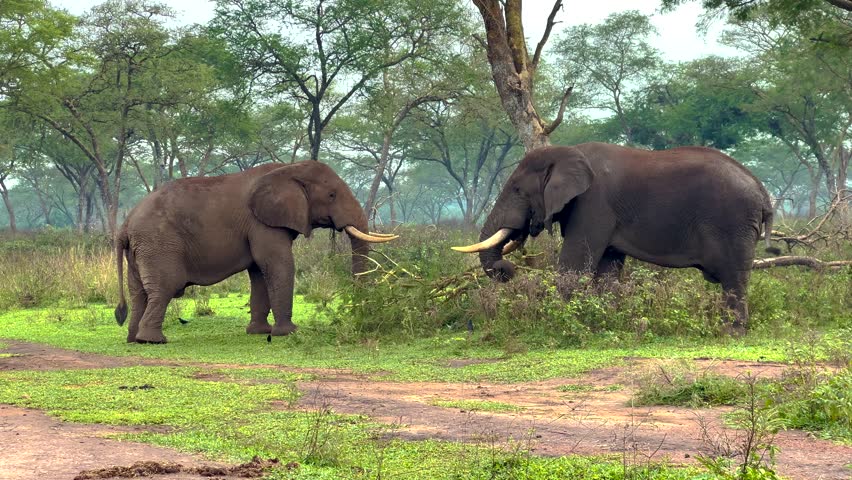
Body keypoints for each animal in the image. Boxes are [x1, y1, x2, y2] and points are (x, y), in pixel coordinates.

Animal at [114, 161, 397, 344]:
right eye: (331, 195)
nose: (361, 319)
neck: (289, 169)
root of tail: (124, 226)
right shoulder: (261, 223)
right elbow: (278, 265)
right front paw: (289, 332)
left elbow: (260, 273)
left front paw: (260, 332)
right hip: (159, 244)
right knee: (164, 288)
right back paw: (153, 341)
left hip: (142, 249)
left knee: (139, 293)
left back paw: (133, 339)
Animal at [453, 142, 778, 332]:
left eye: (518, 190)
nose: (507, 269)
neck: (567, 152)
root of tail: (764, 193)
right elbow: (607, 268)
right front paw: (606, 322)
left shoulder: (593, 203)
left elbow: (574, 264)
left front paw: (561, 323)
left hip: (734, 223)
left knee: (734, 278)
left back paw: (730, 332)